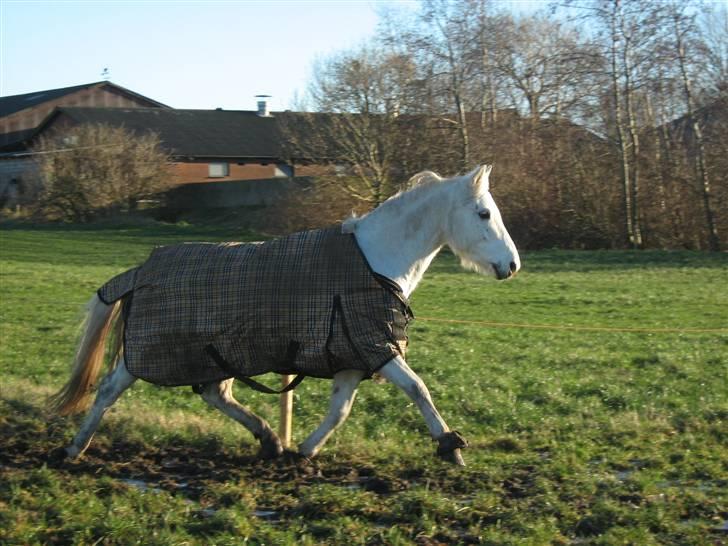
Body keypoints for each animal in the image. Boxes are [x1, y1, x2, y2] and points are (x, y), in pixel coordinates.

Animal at [49, 165, 516, 464]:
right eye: (484, 213)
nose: (511, 265)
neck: (374, 263)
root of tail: (142, 270)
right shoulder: (377, 347)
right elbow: (419, 389)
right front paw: (451, 446)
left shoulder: (353, 357)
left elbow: (340, 409)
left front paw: (303, 452)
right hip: (144, 356)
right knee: (108, 391)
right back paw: (72, 450)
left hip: (217, 355)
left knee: (215, 394)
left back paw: (270, 440)